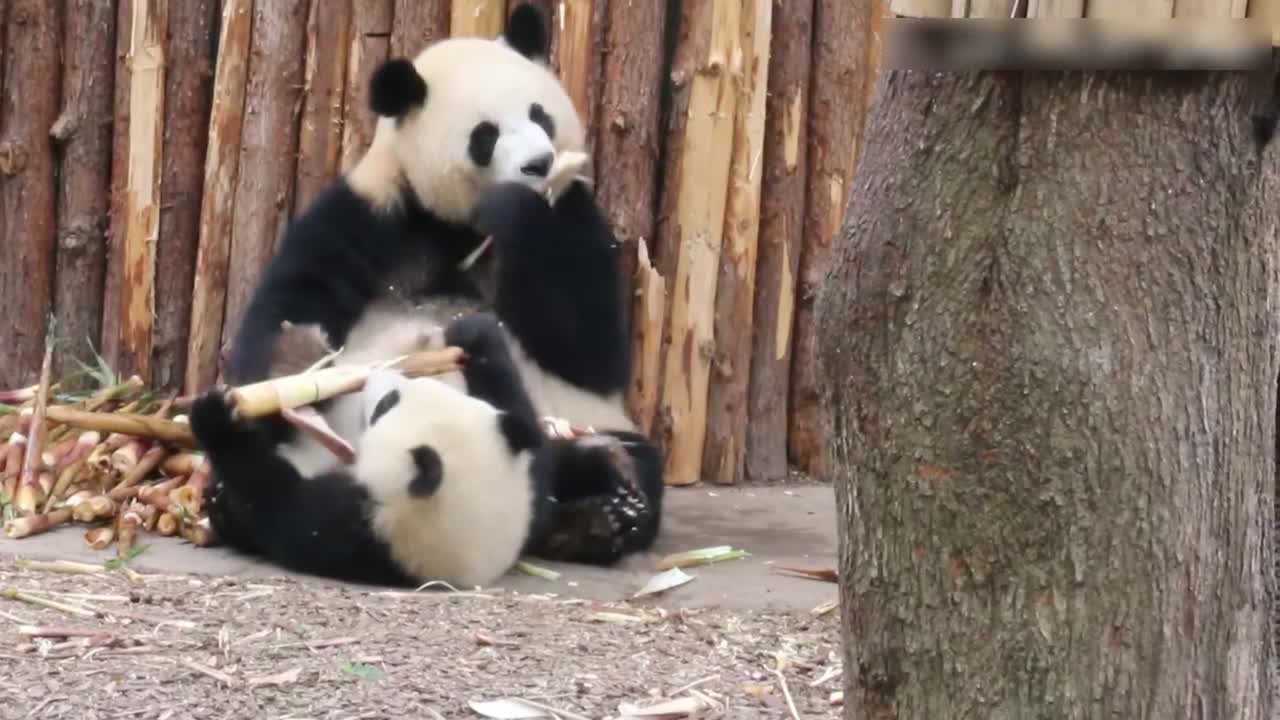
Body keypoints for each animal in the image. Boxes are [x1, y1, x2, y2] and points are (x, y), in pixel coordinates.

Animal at [192, 311, 650, 586]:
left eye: (387, 405)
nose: (377, 377)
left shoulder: (360, 535)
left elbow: (277, 506)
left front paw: (216, 421)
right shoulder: (526, 478)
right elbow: (525, 432)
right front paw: (477, 335)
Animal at [215, 1, 665, 561]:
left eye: (539, 114)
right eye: (486, 135)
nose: (538, 163)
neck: (457, 225)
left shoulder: (573, 215)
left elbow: (591, 350)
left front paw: (515, 209)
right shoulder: (373, 210)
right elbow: (290, 297)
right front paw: (293, 365)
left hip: (582, 419)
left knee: (633, 461)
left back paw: (599, 508)